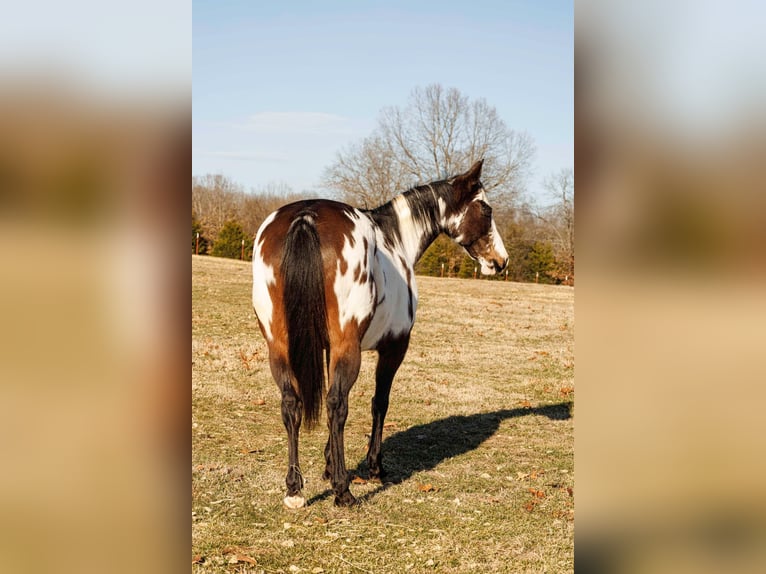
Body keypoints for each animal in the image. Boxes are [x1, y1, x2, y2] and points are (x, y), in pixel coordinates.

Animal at [251, 159, 508, 508]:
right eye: (486, 208)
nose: (500, 260)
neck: (394, 239)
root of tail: (306, 216)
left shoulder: (329, 348)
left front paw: (329, 465)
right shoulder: (394, 347)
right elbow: (379, 402)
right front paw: (372, 466)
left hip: (279, 347)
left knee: (292, 404)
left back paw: (294, 489)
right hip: (348, 349)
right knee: (337, 405)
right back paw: (343, 492)